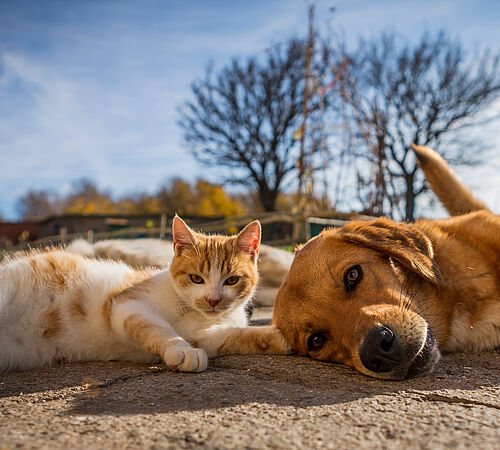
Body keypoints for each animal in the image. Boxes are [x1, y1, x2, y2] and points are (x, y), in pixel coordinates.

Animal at [0, 216, 292, 370]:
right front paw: (181, 350)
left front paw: (275, 338)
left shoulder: (205, 335)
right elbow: (158, 329)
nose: (212, 299)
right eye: (196, 278)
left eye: (231, 280)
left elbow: (232, 336)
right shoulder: (127, 304)